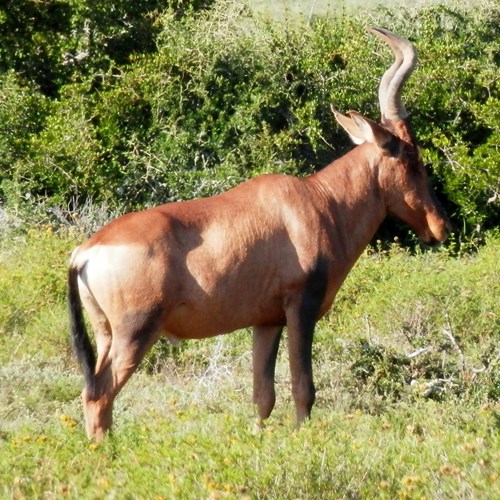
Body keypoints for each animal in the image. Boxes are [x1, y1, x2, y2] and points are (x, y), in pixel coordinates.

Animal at [68, 28, 452, 442]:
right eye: (413, 157)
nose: (440, 228)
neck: (317, 201)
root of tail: (86, 252)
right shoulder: (301, 306)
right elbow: (303, 386)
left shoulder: (266, 321)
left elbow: (262, 394)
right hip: (134, 333)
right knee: (99, 394)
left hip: (106, 334)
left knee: (95, 392)